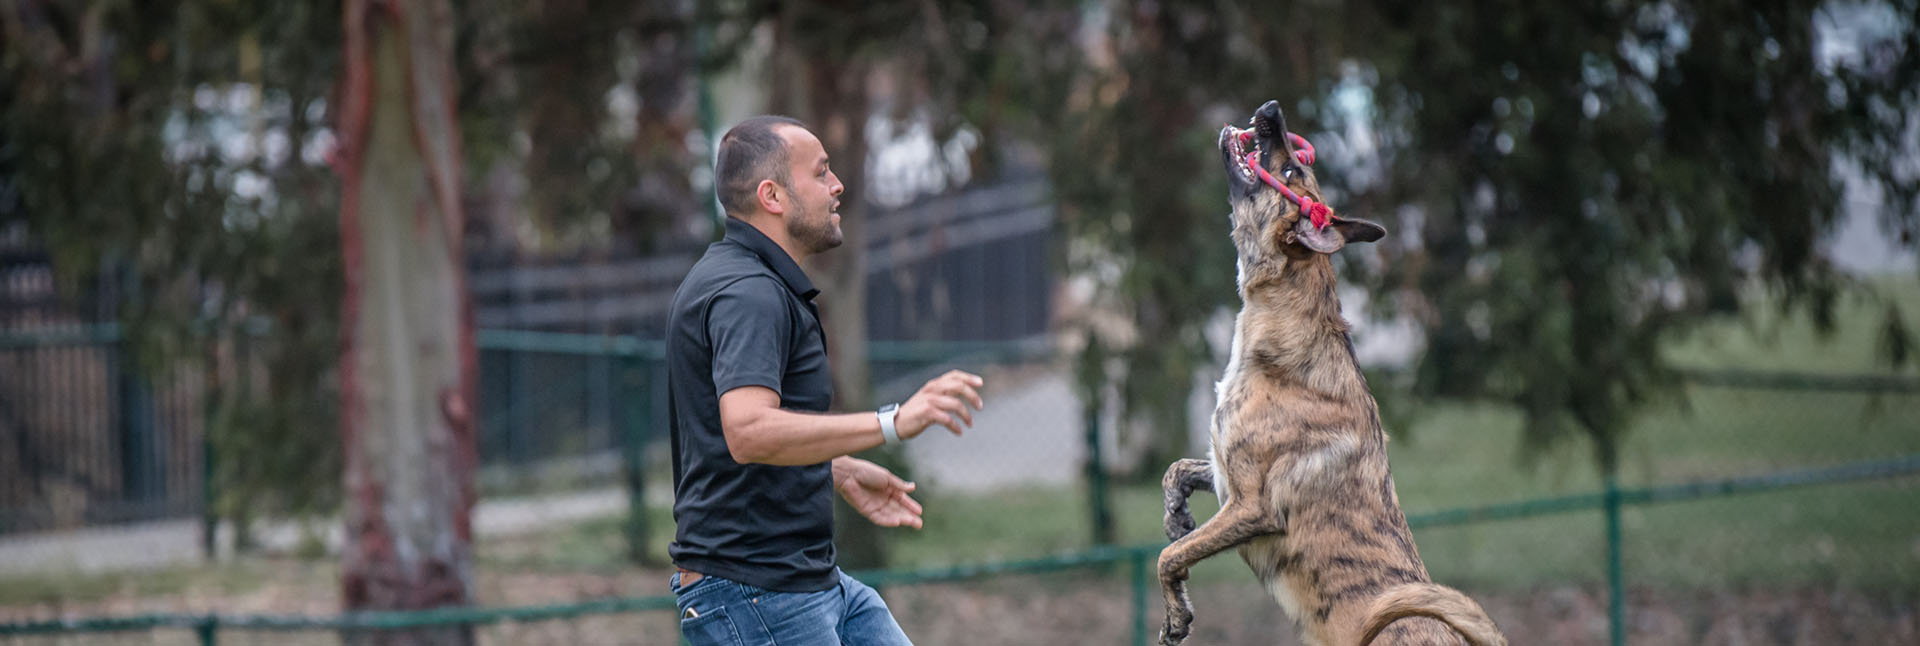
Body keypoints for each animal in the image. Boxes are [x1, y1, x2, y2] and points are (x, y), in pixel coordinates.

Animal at [1144, 100, 1505, 646]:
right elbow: (1178, 472)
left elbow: (1169, 557)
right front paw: (1175, 512)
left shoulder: (1251, 507)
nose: (1272, 109)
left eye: (1292, 171)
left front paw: (1175, 615)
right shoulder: (1225, 475)